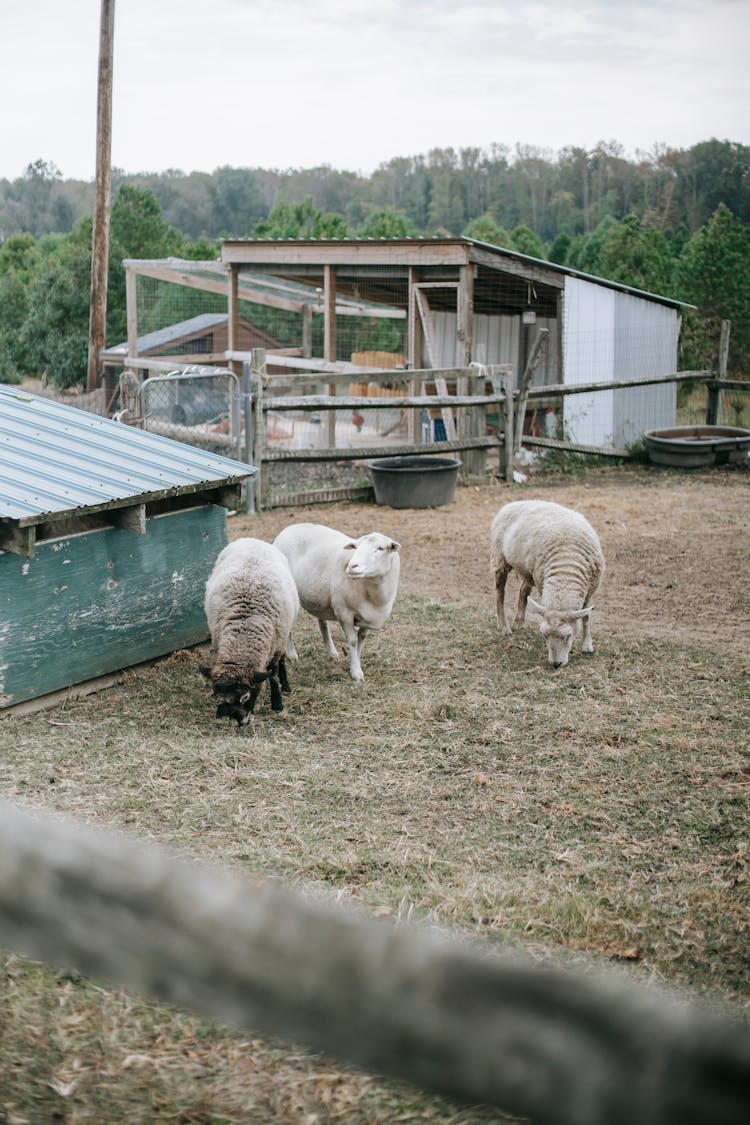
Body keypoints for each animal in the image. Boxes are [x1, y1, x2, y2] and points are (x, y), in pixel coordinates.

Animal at [205, 537, 301, 729]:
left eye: (245, 696)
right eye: (218, 697)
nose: (240, 722)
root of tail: (252, 539)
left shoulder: (274, 648)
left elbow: (273, 677)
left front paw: (277, 704)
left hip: (283, 635)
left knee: (282, 661)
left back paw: (286, 686)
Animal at [273, 522, 402, 679]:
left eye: (381, 548)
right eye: (356, 548)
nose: (352, 566)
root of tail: (290, 527)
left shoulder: (369, 618)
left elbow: (361, 640)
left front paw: (357, 662)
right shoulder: (344, 613)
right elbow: (353, 641)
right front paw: (356, 672)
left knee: (322, 623)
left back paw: (332, 653)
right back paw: (292, 654)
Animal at [490, 501, 607, 666]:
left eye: (568, 636)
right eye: (544, 636)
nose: (555, 664)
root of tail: (512, 504)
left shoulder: (590, 590)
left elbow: (586, 618)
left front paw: (587, 646)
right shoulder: (543, 585)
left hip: (529, 572)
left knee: (523, 592)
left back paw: (521, 622)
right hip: (500, 558)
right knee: (500, 593)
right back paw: (504, 628)